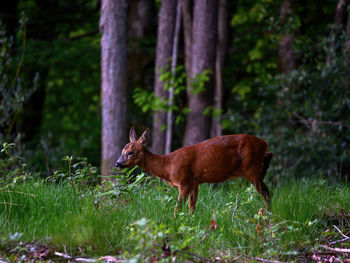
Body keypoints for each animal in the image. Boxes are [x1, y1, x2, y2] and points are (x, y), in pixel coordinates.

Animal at [115, 127, 274, 212]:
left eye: (130, 152)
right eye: (122, 150)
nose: (118, 163)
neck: (168, 165)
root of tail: (265, 143)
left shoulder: (184, 182)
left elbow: (178, 207)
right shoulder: (194, 183)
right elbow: (192, 207)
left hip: (251, 168)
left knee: (267, 192)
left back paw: (267, 214)